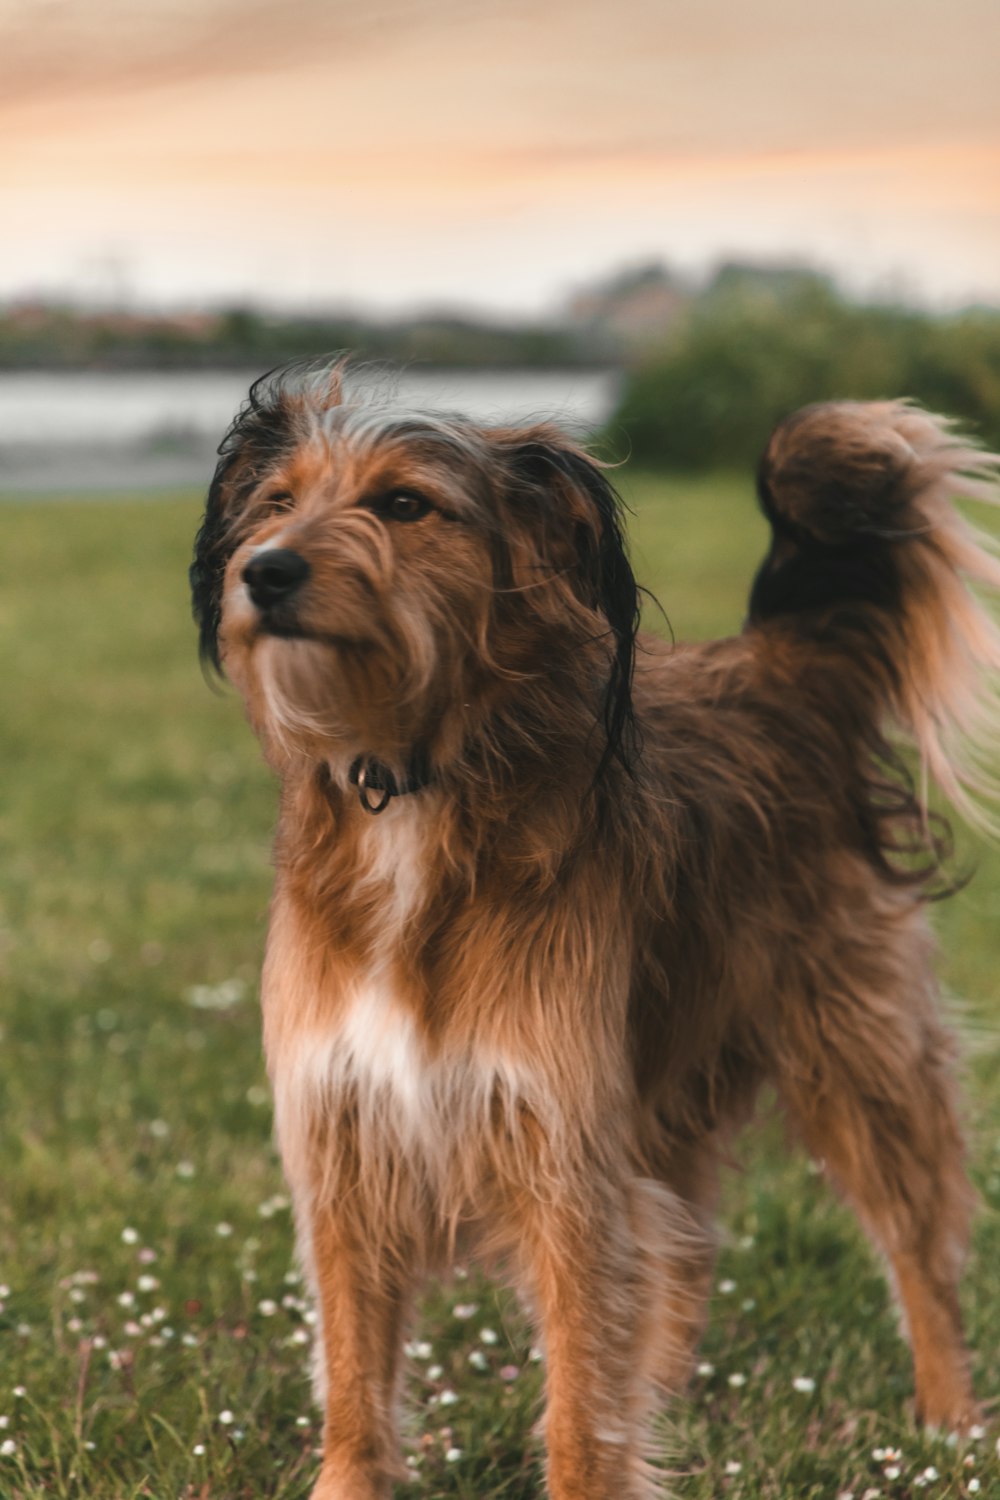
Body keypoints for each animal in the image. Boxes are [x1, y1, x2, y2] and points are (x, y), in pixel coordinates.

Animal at [191, 366, 995, 1500]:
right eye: (275, 503)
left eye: (404, 503)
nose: (263, 572)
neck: (413, 794)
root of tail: (779, 665)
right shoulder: (347, 1142)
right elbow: (355, 1373)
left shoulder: (563, 1152)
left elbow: (578, 1389)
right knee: (683, 1254)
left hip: (860, 1053)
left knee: (919, 1246)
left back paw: (949, 1416)